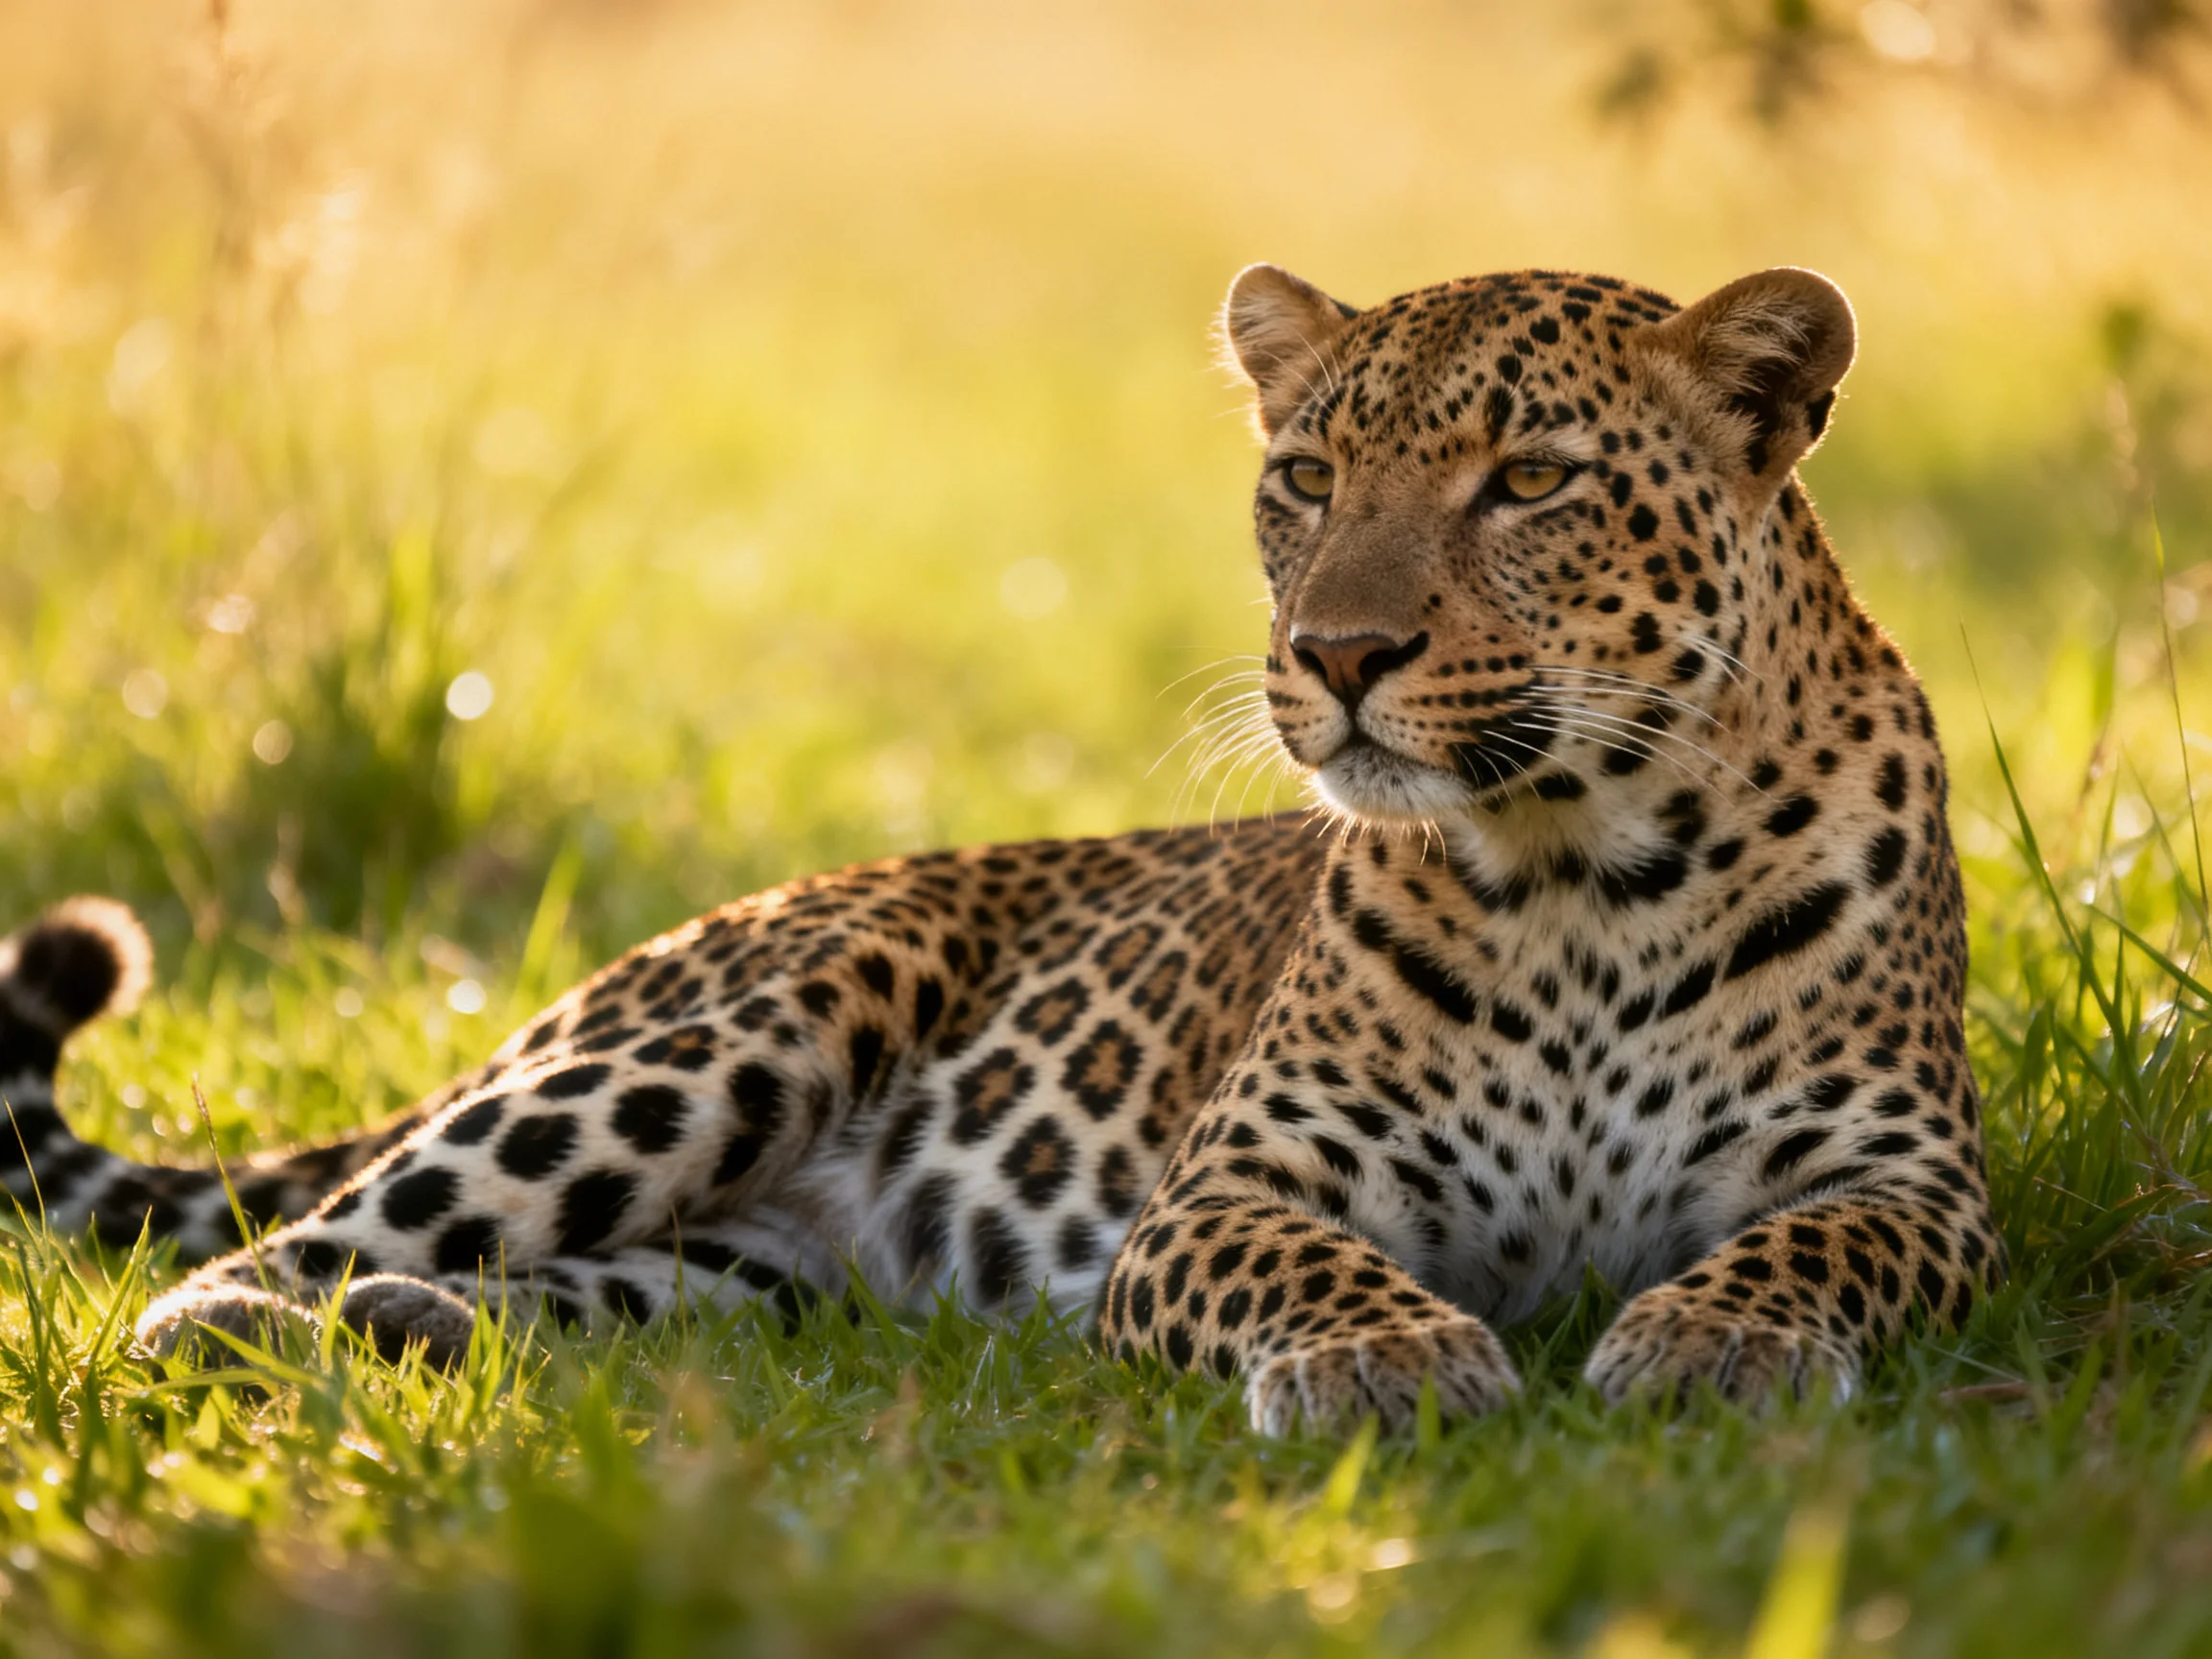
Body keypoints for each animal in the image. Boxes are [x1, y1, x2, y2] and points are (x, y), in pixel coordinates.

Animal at [1, 261, 1999, 1433]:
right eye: (1302, 478)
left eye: (1528, 483)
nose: (1336, 655)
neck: (1577, 861)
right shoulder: (1228, 1186)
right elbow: (1309, 1268)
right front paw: (1385, 1354)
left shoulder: (1907, 1177)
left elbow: (1811, 1248)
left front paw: (1716, 1339)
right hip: (725, 1037)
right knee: (238, 1267)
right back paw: (264, 1340)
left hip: (752, 1271)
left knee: (555, 1285)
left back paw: (418, 1328)